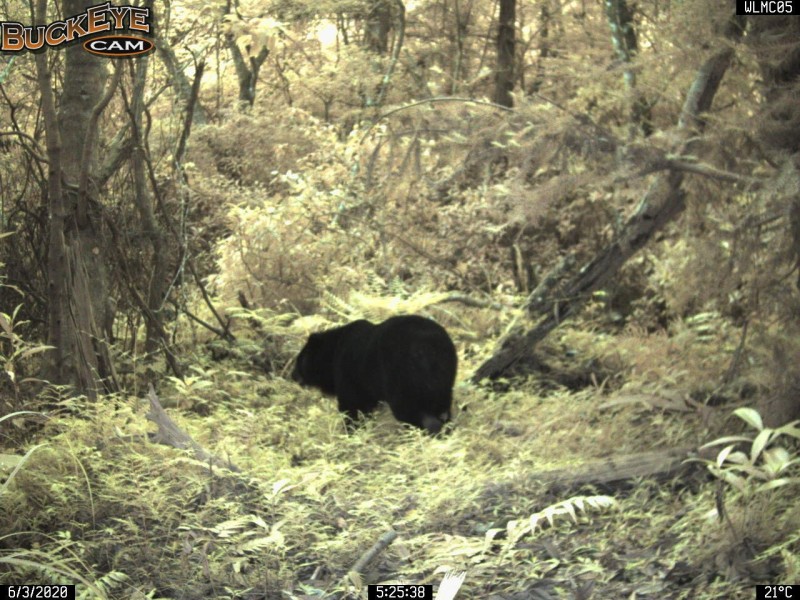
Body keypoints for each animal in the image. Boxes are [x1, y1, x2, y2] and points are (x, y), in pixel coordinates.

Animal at [292, 314, 456, 436]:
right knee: (442, 406)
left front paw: (351, 433)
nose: (292, 376)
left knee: (409, 410)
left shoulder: (349, 375)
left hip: (402, 378)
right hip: (444, 376)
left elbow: (351, 407)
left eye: (298, 360)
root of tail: (428, 347)